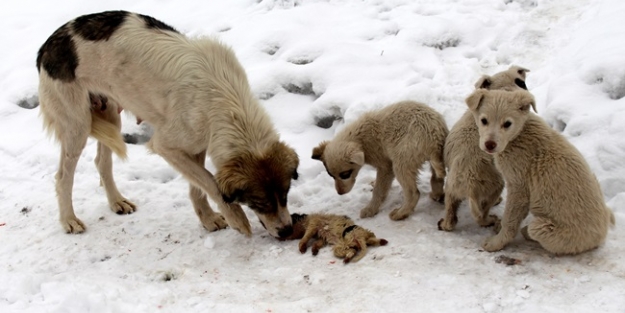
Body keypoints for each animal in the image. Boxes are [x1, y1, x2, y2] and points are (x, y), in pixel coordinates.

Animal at [36, 11, 300, 238]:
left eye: (285, 194)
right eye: (260, 202)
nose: (288, 231)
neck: (226, 101)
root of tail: (47, 45)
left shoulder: (199, 143)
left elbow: (199, 184)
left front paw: (207, 218)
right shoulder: (166, 145)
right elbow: (209, 181)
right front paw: (236, 218)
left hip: (110, 114)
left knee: (102, 162)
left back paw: (116, 201)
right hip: (77, 126)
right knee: (63, 177)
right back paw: (69, 220)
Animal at [312, 101, 448, 221]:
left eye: (345, 174)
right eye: (331, 176)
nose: (340, 193)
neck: (360, 139)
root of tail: (433, 135)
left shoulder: (385, 166)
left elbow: (379, 190)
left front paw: (370, 210)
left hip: (402, 160)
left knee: (413, 192)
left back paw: (400, 213)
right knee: (436, 178)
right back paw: (436, 195)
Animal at [436, 65, 528, 232]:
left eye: (521, 82)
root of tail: (469, 185)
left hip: (451, 191)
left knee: (451, 219)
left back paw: (444, 224)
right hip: (495, 187)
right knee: (481, 216)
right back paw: (490, 219)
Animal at [468, 88, 616, 254]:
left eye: (507, 124)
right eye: (484, 120)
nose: (490, 144)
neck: (519, 134)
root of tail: (602, 233)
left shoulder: (519, 187)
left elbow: (510, 220)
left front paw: (496, 243)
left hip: (544, 229)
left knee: (534, 230)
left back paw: (526, 232)